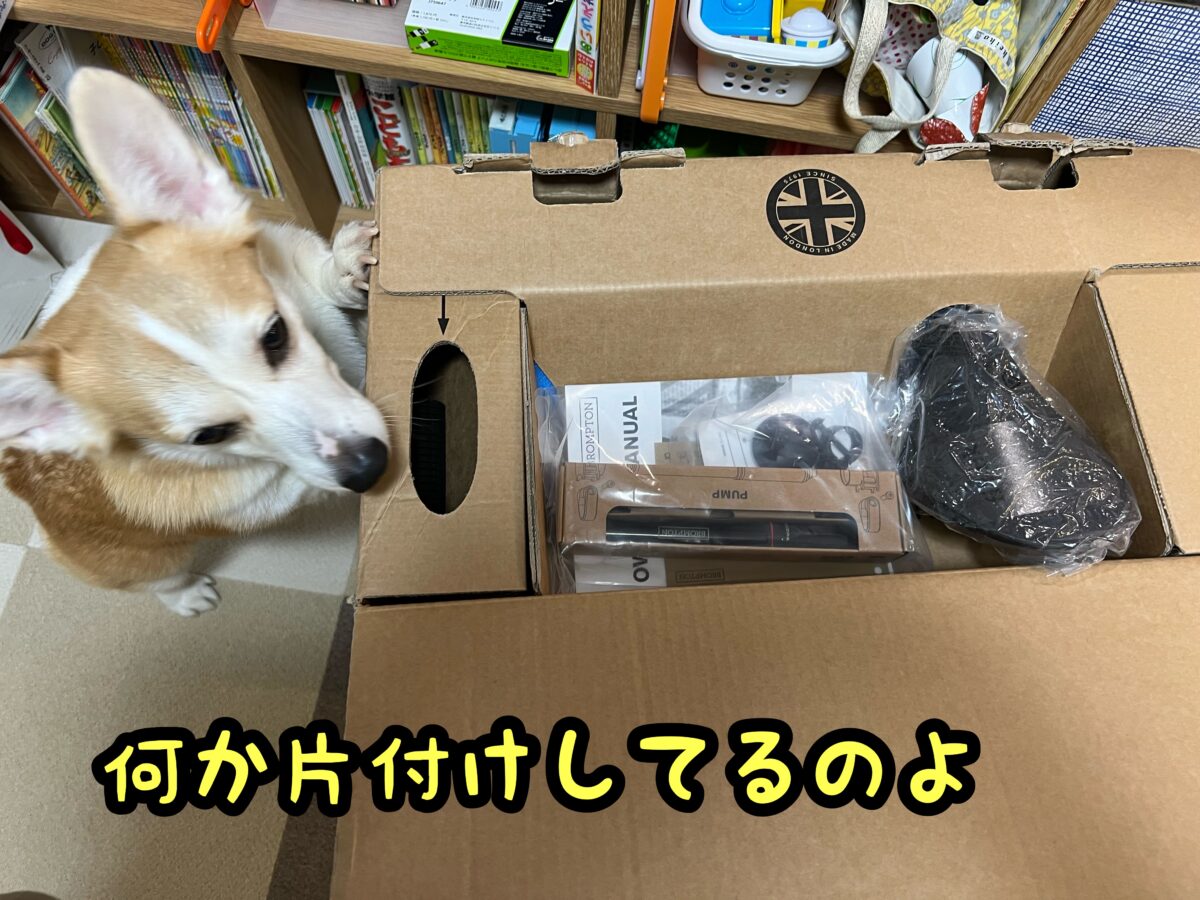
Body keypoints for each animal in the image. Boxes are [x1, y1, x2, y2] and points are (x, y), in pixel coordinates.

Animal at [0, 69, 390, 616]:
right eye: (209, 435)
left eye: (275, 334)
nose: (369, 468)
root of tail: (19, 483)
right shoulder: (265, 492)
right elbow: (296, 482)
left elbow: (325, 274)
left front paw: (350, 264)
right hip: (136, 559)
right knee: (152, 580)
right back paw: (189, 595)